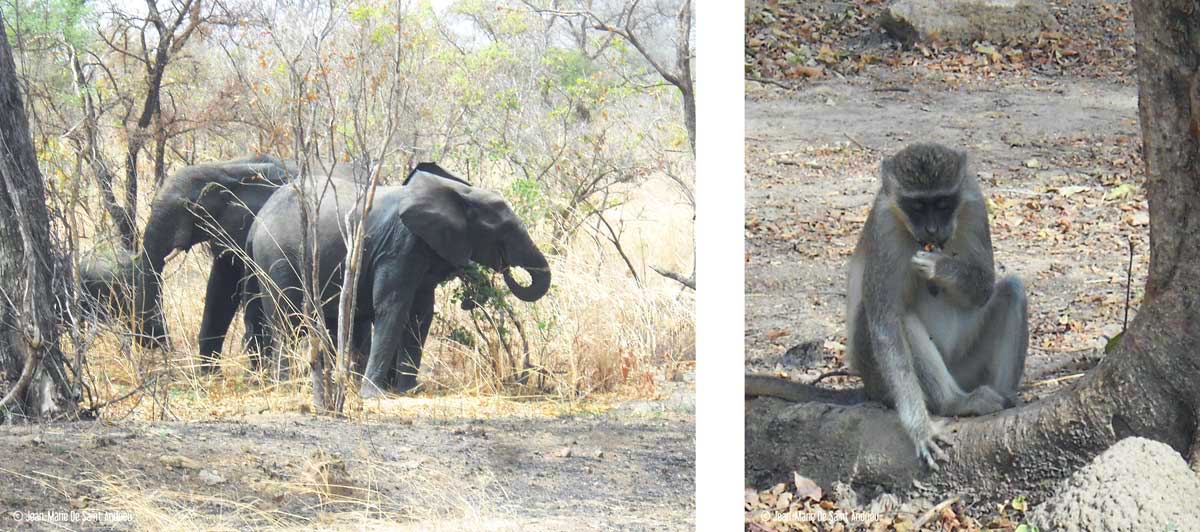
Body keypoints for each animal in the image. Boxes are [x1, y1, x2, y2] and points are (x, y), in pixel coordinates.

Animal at [244, 164, 552, 398]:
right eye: (505, 230)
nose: (507, 269)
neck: (458, 193)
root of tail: (257, 222)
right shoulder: (399, 247)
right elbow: (392, 308)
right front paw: (373, 395)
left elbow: (420, 315)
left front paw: (409, 391)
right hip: (278, 256)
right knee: (285, 320)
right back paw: (285, 385)